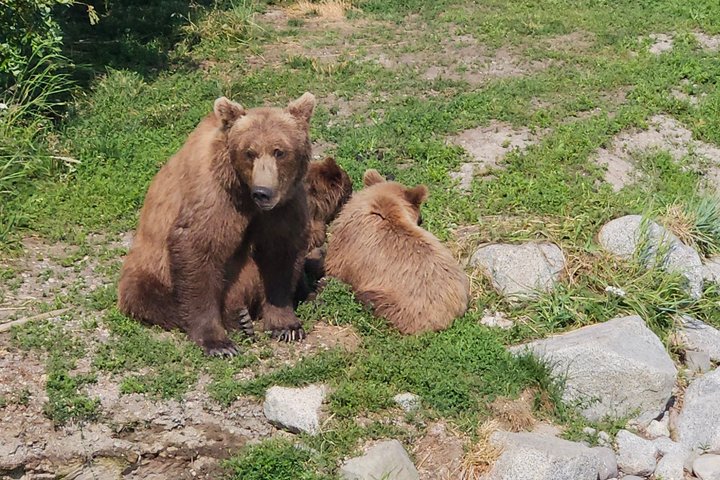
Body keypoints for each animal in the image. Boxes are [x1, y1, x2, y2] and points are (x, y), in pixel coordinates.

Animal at [117, 92, 317, 356]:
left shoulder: (284, 205)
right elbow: (198, 249)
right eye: (249, 152)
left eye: (279, 151)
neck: (244, 193)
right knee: (147, 295)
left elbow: (281, 253)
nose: (262, 192)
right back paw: (239, 320)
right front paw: (218, 343)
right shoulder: (215, 195)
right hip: (148, 267)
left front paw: (286, 326)